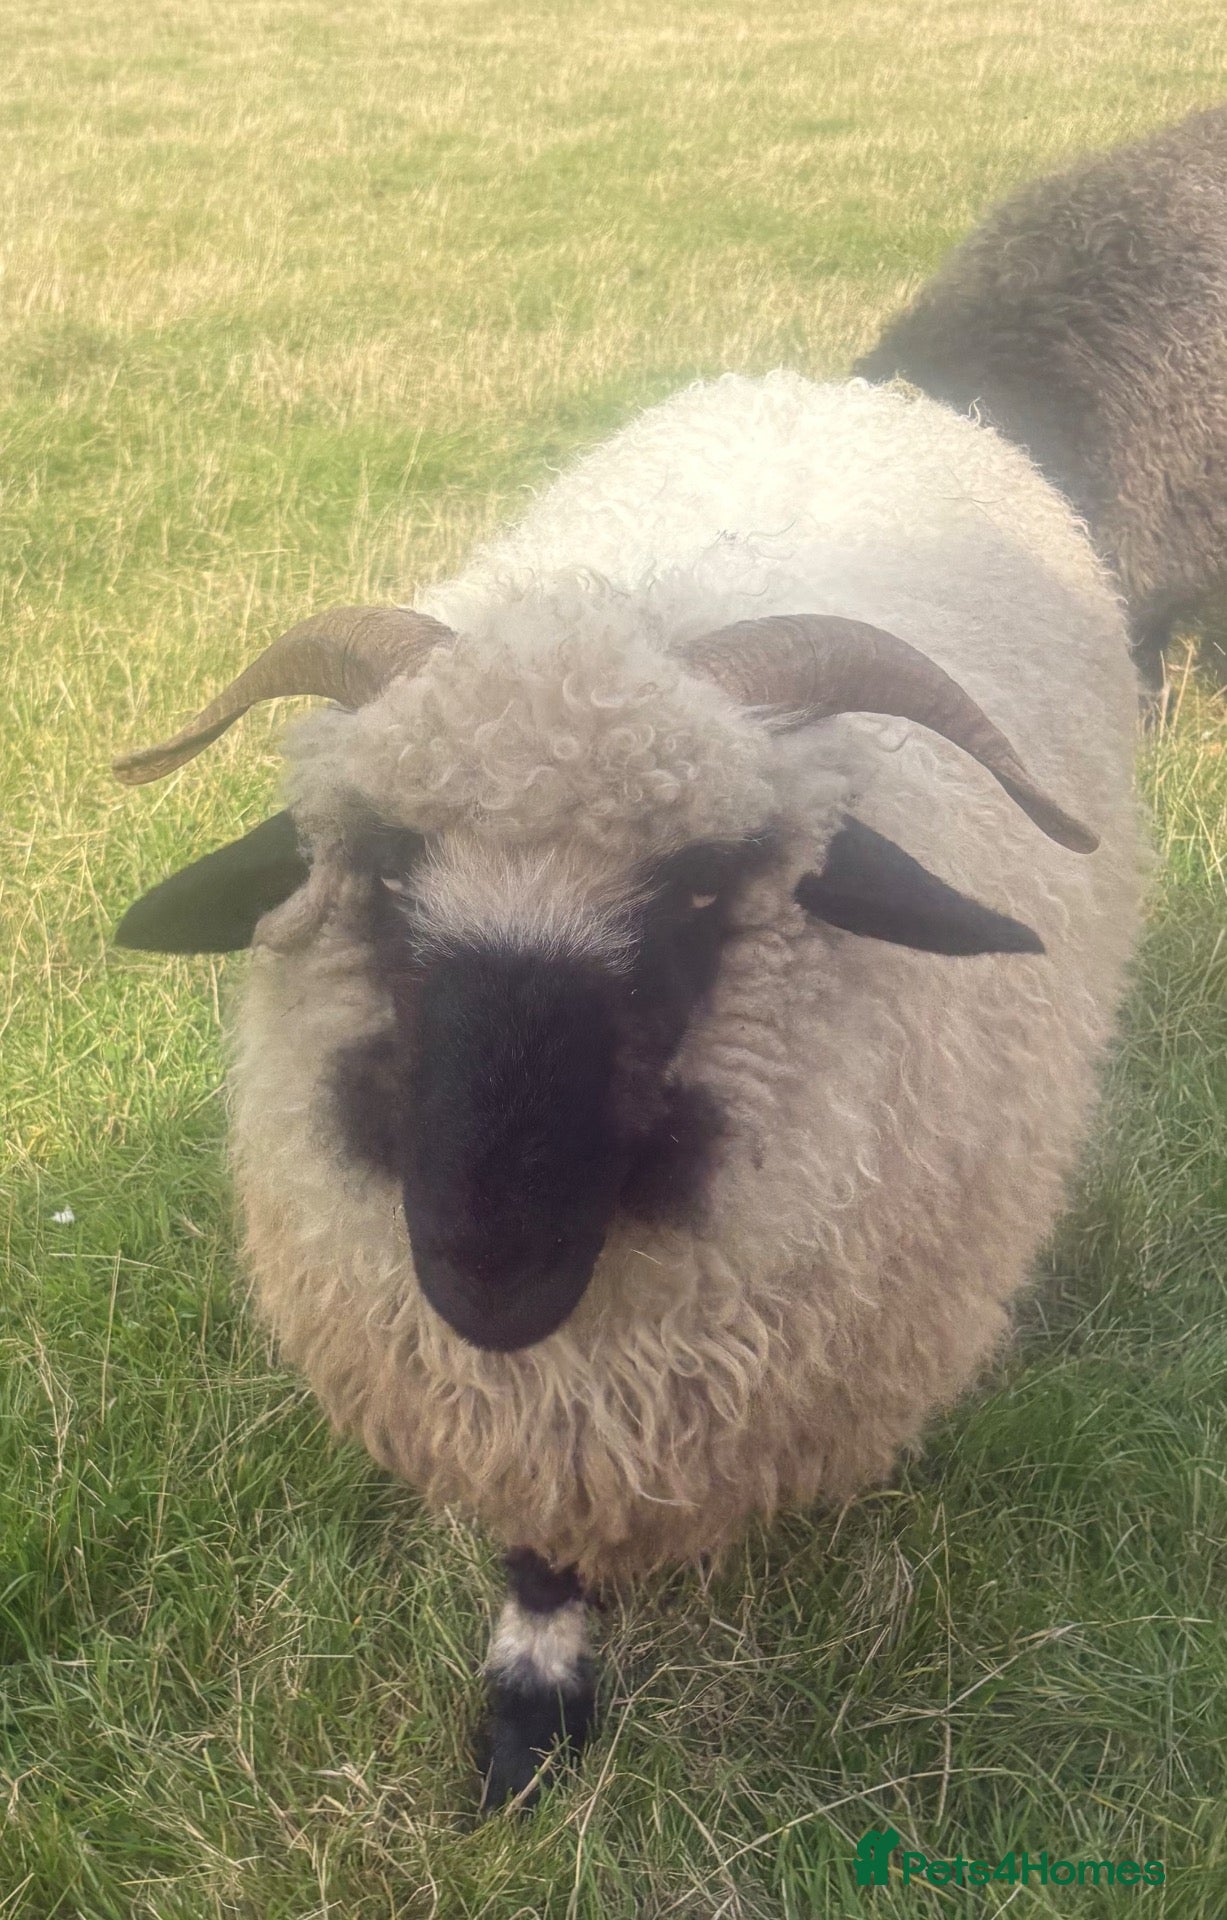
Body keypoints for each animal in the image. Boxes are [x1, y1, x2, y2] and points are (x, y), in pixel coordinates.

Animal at [113, 371, 1141, 1809]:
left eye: (704, 888)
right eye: (381, 867)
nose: (487, 1279)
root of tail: (818, 383)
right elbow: (539, 1552)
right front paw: (525, 1721)